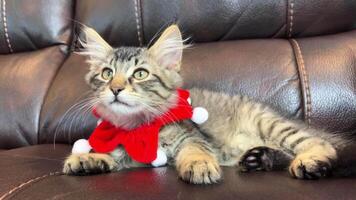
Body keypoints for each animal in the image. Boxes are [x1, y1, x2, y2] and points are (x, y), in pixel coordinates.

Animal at [62, 24, 346, 183]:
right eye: (107, 73)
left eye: (140, 74)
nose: (116, 89)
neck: (140, 127)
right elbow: (111, 154)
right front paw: (86, 158)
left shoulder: (193, 136)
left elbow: (195, 150)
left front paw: (198, 165)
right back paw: (258, 158)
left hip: (271, 124)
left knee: (323, 146)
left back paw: (310, 161)